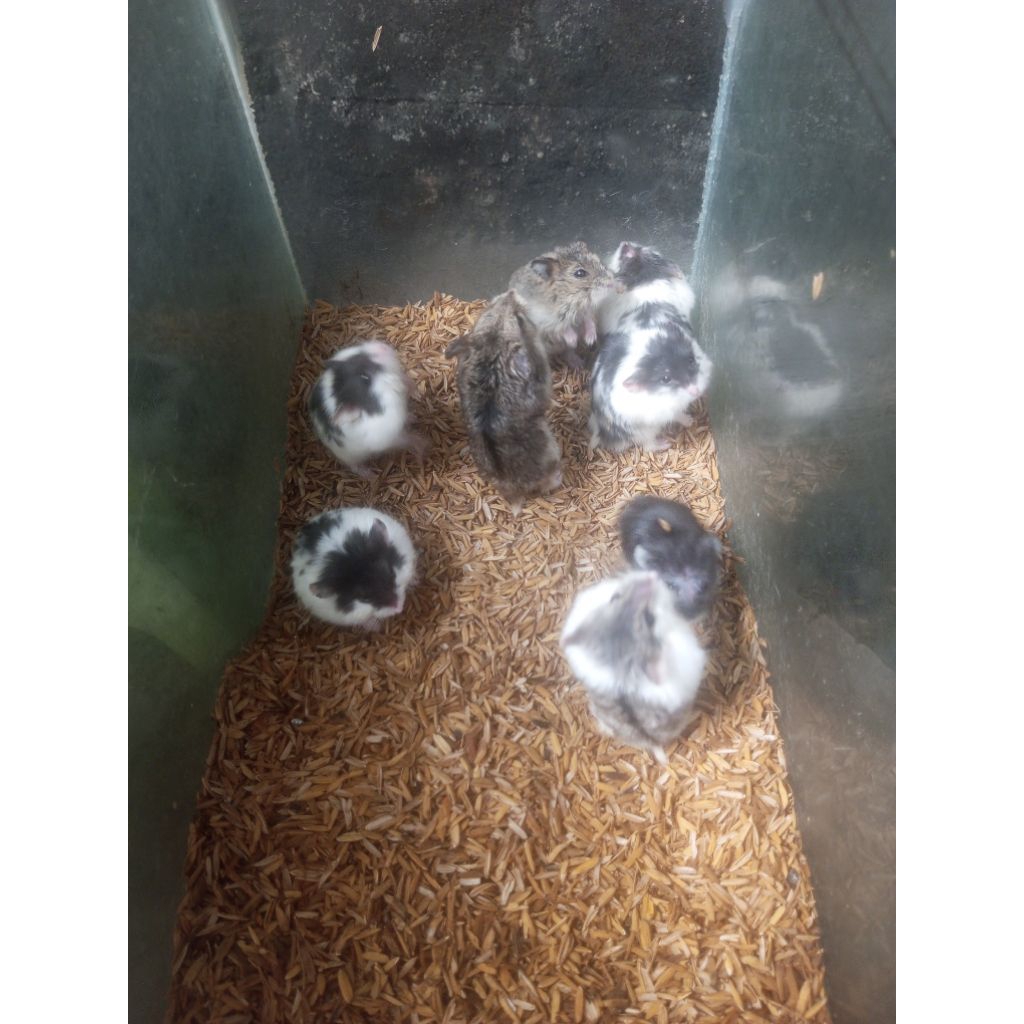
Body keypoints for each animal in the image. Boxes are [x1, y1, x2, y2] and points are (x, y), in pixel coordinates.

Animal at [308, 339, 426, 477]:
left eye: (356, 356)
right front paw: (424, 446)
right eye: (365, 377)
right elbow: (408, 439)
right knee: (354, 467)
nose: (383, 347)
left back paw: (413, 417)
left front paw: (416, 393)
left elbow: (405, 381)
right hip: (349, 457)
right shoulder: (389, 438)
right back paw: (371, 475)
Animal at [445, 290, 562, 513]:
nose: (511, 292)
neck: (494, 343)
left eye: (488, 309)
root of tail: (512, 490)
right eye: (520, 319)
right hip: (553, 453)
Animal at [509, 241, 617, 369]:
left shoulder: (586, 311)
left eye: (599, 261)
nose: (611, 282)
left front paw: (590, 340)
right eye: (580, 273)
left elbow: (589, 322)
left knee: (567, 352)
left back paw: (578, 363)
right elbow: (563, 328)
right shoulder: (545, 321)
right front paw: (573, 340)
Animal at [590, 242, 712, 452]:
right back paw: (668, 441)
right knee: (648, 445)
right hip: (646, 429)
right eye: (624, 257)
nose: (625, 244)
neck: (644, 278)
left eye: (647, 251)